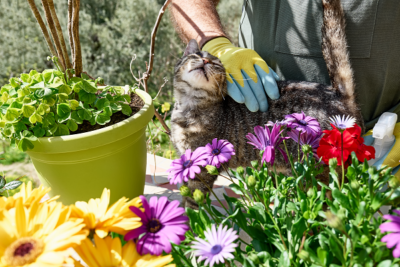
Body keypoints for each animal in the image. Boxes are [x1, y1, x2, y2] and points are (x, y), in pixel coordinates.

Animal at [170, 0, 364, 209]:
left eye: (217, 65)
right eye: (196, 55)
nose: (205, 59)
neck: (189, 106)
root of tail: (336, 93)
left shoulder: (201, 167)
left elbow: (193, 199)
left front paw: (188, 215)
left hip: (317, 171)